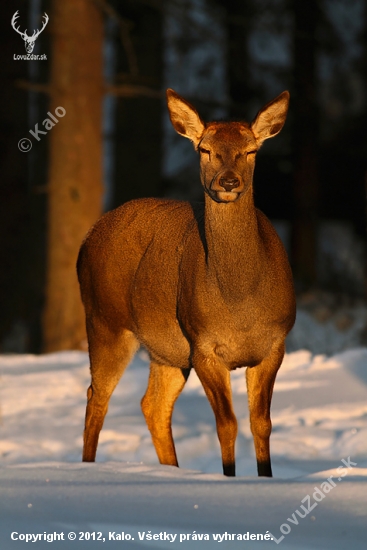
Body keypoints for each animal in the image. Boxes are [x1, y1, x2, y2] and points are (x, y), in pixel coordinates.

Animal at [77, 88, 296, 476]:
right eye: (205, 149)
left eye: (251, 150)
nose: (228, 181)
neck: (240, 305)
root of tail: (87, 239)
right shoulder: (203, 345)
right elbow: (227, 425)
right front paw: (228, 478)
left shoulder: (274, 344)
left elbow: (261, 423)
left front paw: (266, 479)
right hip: (104, 320)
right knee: (96, 396)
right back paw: (88, 469)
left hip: (166, 349)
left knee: (152, 404)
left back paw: (171, 470)